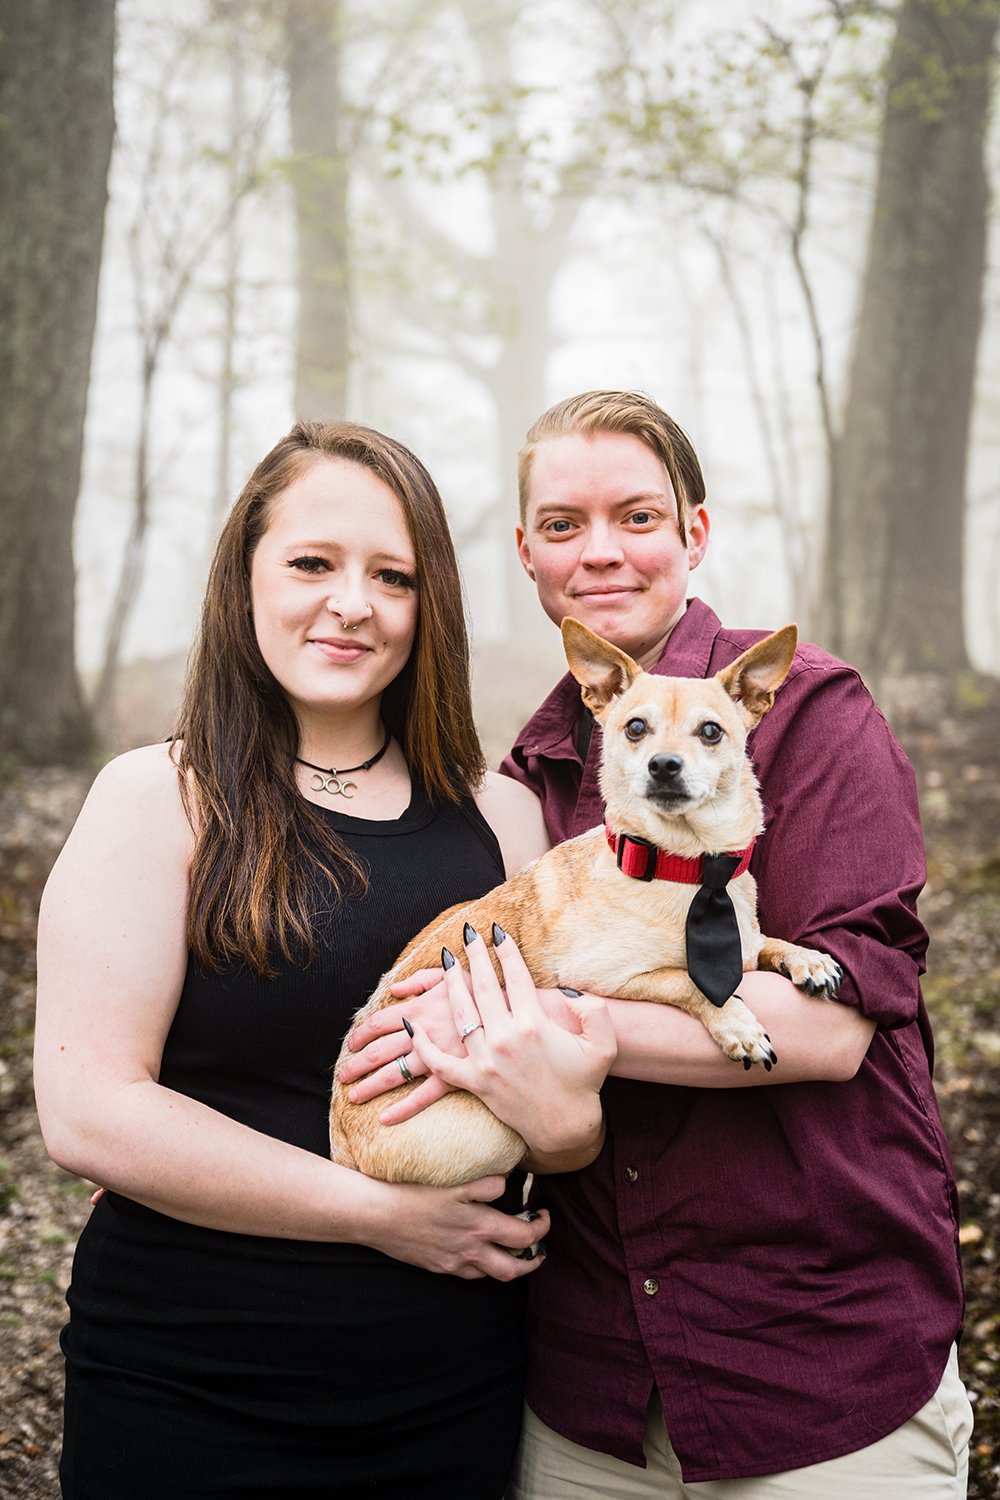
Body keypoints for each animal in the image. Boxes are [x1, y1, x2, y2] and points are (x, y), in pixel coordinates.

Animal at [332, 618, 839, 1182]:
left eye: (711, 732)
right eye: (635, 728)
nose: (664, 765)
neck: (689, 867)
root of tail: (343, 1149)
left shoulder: (746, 938)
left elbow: (763, 942)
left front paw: (806, 958)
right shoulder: (603, 978)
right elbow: (686, 980)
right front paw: (736, 1021)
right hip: (499, 1135)